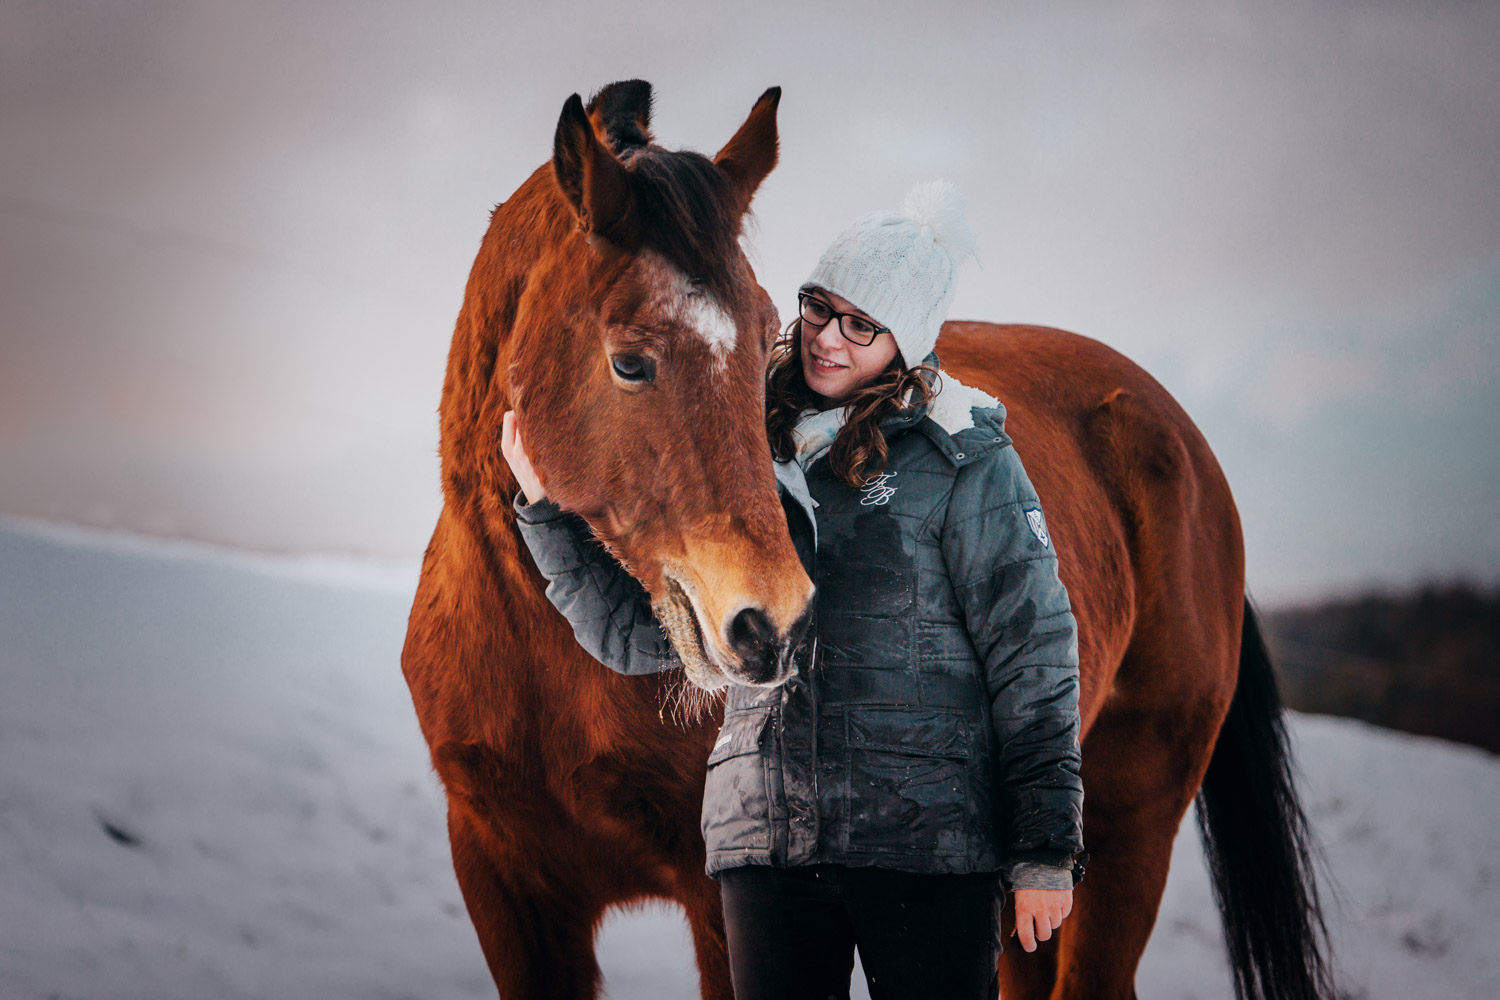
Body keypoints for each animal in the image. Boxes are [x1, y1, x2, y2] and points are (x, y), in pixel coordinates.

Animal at [399, 80, 1326, 1000]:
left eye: (766, 339)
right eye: (629, 361)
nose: (772, 624)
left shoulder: (720, 900)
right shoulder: (505, 884)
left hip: (1132, 824)